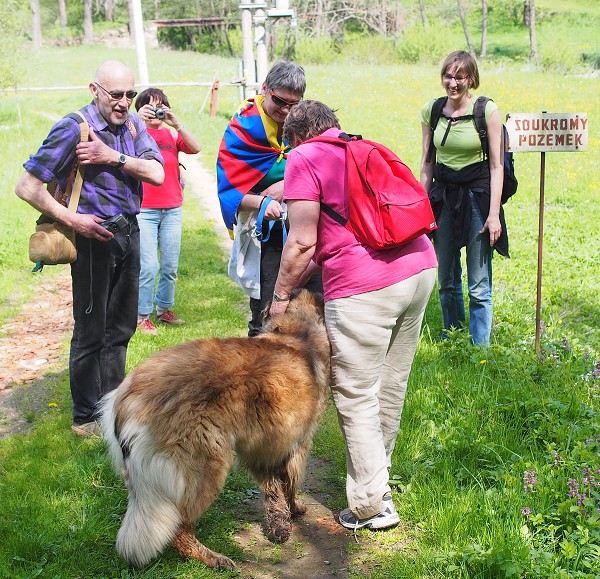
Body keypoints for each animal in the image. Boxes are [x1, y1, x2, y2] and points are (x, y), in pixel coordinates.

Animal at [100, 290, 330, 572]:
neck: (296, 332)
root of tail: (126, 397)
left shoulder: (262, 446)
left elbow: (273, 487)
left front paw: (279, 522)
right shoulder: (299, 443)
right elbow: (291, 483)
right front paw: (295, 509)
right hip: (206, 465)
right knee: (180, 528)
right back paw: (213, 558)